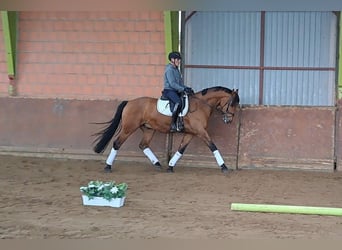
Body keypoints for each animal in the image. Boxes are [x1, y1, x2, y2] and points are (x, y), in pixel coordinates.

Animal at [92, 86, 239, 174]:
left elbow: (181, 149)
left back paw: (157, 164)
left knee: (143, 145)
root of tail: (129, 102)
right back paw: (108, 166)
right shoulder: (201, 132)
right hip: (129, 128)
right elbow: (213, 146)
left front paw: (170, 166)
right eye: (232, 103)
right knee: (117, 143)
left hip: (149, 129)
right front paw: (224, 166)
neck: (200, 105)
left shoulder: (191, 133)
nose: (229, 120)